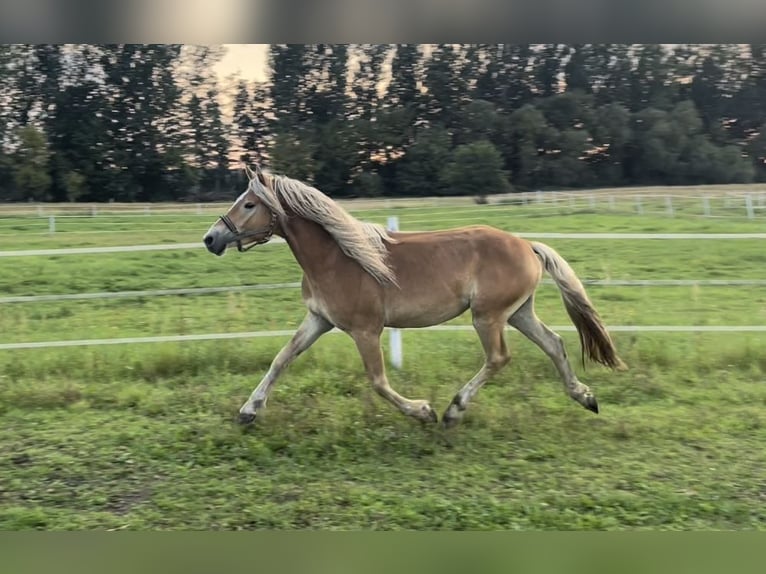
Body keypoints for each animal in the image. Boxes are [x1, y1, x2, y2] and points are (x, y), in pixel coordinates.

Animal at [204, 165, 632, 428]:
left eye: (249, 204)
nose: (211, 238)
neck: (337, 257)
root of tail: (527, 245)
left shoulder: (365, 330)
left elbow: (378, 381)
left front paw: (423, 411)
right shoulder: (318, 320)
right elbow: (282, 359)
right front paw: (247, 412)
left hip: (488, 316)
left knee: (499, 357)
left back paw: (453, 411)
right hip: (517, 312)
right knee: (555, 344)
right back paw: (586, 397)